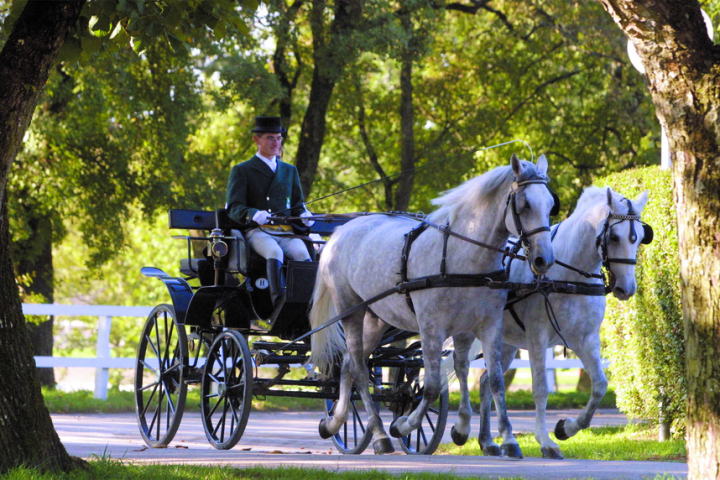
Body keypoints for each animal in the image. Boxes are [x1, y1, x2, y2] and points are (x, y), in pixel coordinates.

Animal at [309, 154, 557, 456]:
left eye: (550, 205)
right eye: (524, 205)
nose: (544, 260)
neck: (463, 258)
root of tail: (340, 232)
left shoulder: (484, 326)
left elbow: (491, 379)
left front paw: (505, 439)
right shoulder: (431, 328)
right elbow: (430, 387)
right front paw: (403, 425)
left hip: (376, 318)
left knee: (347, 364)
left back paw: (336, 422)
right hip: (352, 311)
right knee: (359, 367)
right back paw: (379, 433)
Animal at [449, 186, 652, 459]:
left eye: (639, 238)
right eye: (615, 237)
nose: (626, 289)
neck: (570, 277)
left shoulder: (586, 339)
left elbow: (600, 385)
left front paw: (566, 428)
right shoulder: (538, 336)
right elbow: (541, 388)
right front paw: (545, 440)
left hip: (505, 341)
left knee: (486, 382)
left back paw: (488, 441)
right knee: (461, 369)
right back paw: (460, 430)